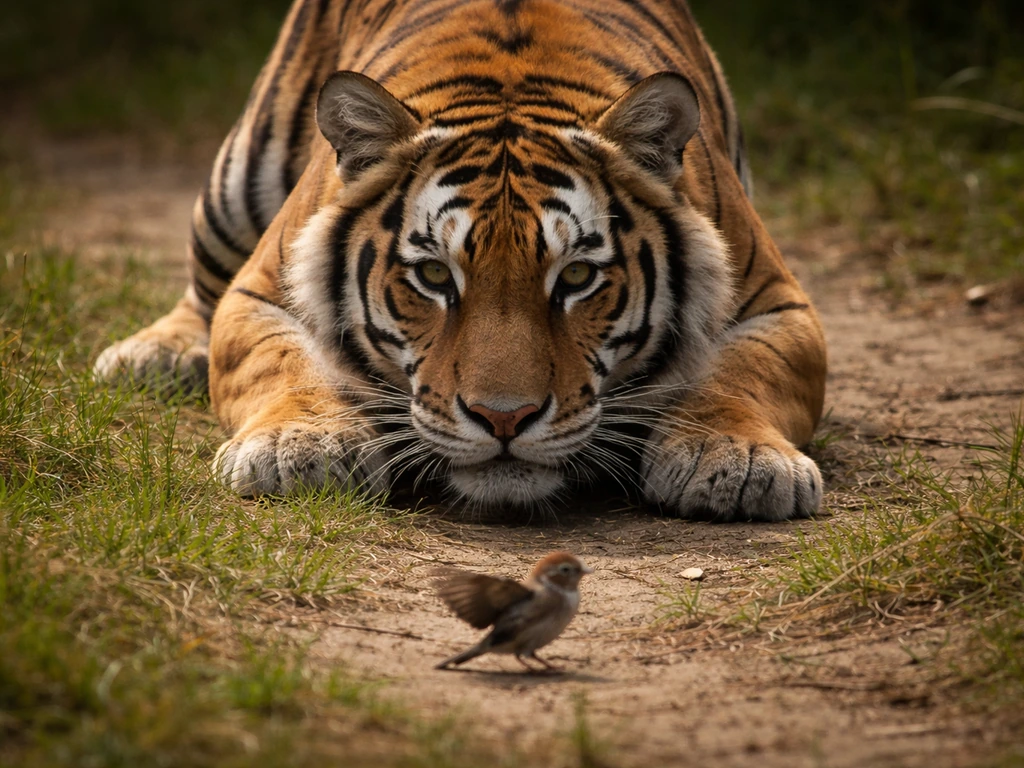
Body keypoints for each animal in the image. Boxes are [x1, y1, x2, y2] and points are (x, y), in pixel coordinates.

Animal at [95, 0, 827, 521]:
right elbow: (283, 363)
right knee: (198, 291)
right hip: (238, 178)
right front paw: (296, 448)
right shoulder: (259, 292)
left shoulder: (782, 304)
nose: (505, 419)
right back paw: (149, 355)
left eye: (578, 277)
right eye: (433, 276)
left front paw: (738, 459)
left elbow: (743, 371)